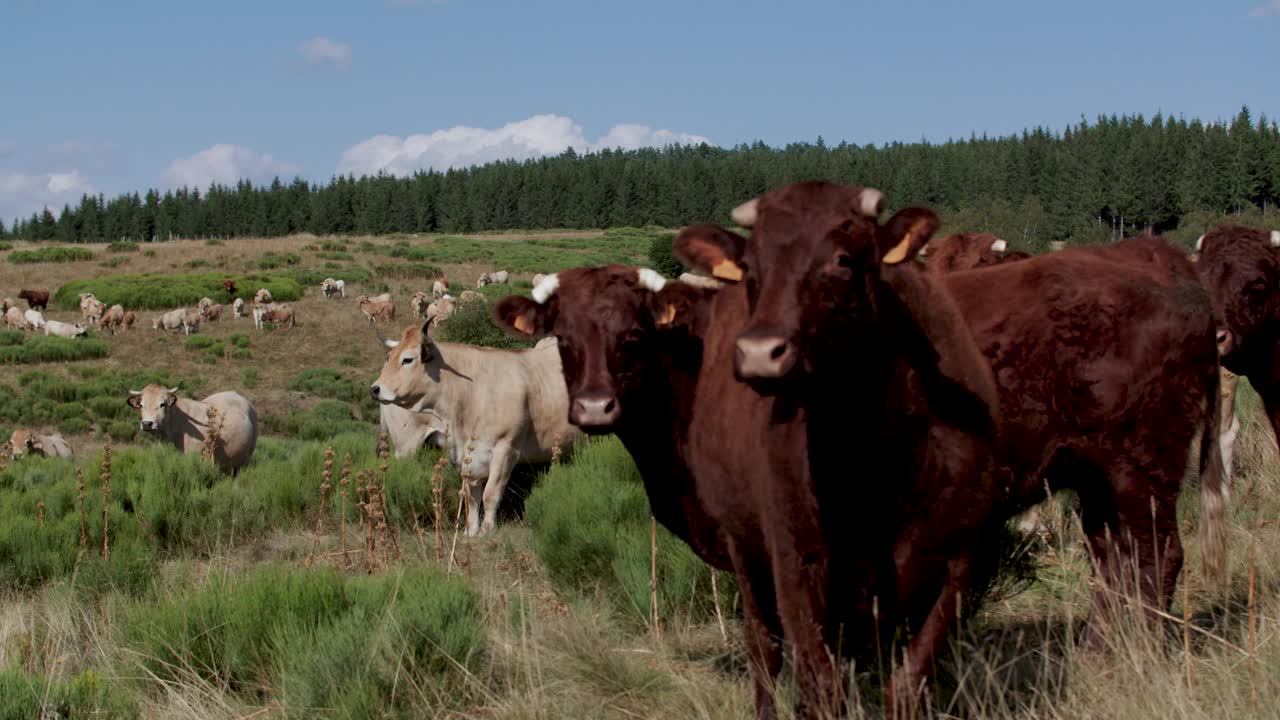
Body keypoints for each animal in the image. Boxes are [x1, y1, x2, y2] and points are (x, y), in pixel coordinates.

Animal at [371, 319, 586, 532]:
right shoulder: (463, 454)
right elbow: (471, 496)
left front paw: (485, 530)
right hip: (405, 447)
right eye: (389, 358)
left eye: (407, 360)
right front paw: (471, 530)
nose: (375, 388)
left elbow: (490, 494)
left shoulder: (505, 449)